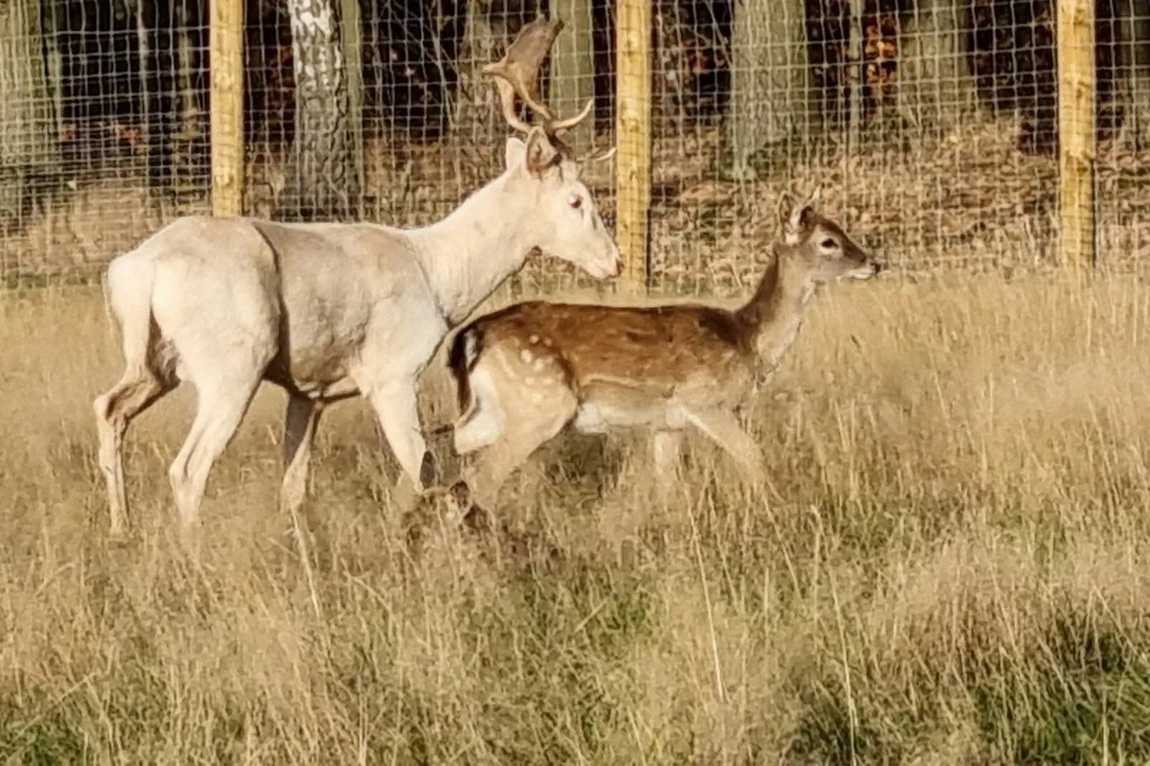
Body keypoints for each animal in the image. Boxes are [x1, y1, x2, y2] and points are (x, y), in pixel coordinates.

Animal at [94, 17, 621, 533]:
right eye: (576, 200)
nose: (613, 261)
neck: (438, 277)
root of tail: (139, 269)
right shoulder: (393, 370)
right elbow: (424, 469)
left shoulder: (310, 390)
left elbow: (293, 489)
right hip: (233, 360)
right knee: (187, 468)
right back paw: (191, 551)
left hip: (155, 362)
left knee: (109, 407)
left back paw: (122, 530)